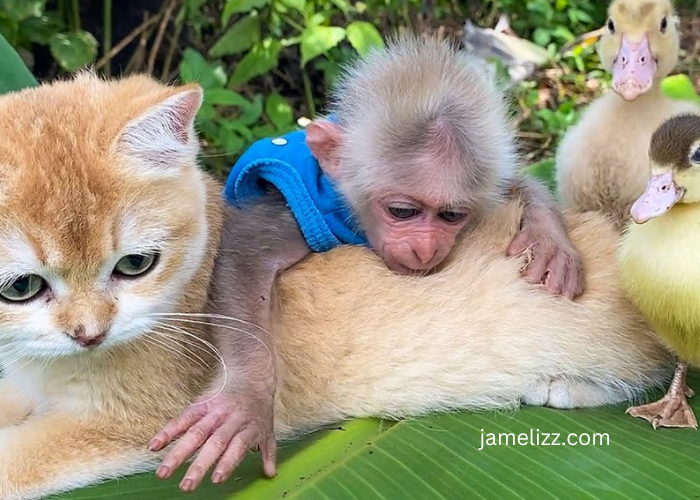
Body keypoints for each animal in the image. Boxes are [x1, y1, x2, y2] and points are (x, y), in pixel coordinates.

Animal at [148, 34, 586, 492]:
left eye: (451, 216)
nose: (426, 247)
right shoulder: (303, 211)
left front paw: (549, 236)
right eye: (402, 212)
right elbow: (244, 254)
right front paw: (247, 396)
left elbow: (512, 182)